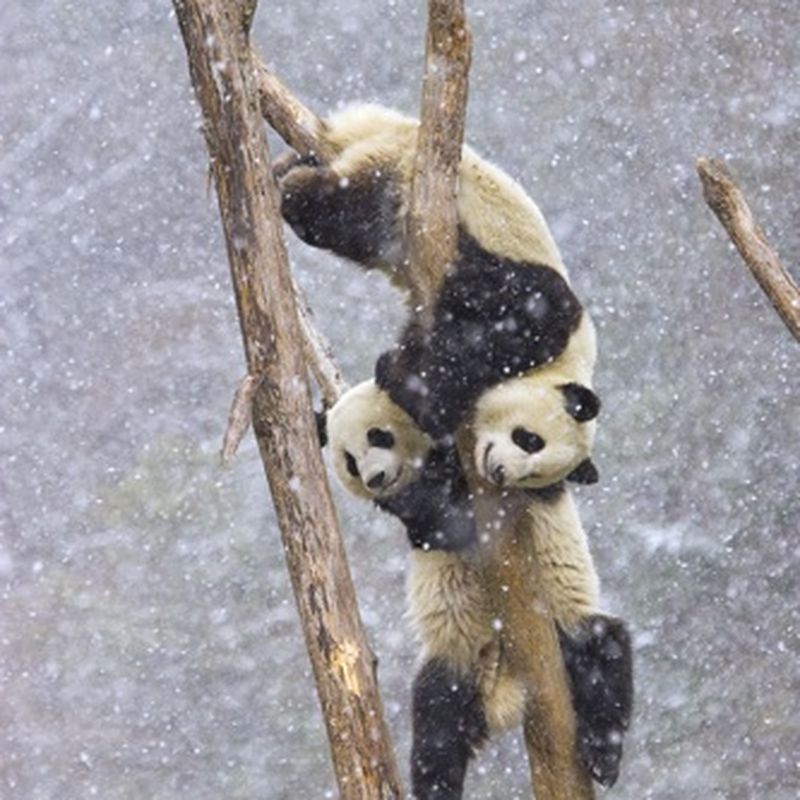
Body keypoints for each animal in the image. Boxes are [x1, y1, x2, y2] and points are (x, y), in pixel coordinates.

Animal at [278, 103, 596, 440]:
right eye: (529, 440)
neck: (564, 361)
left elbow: (423, 342)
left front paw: (394, 374)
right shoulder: (531, 307)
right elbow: (471, 344)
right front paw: (426, 402)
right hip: (396, 179)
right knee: (343, 207)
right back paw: (292, 185)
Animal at [324, 380, 632, 792]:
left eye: (379, 435)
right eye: (350, 463)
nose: (376, 479)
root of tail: (503, 694)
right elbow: (434, 521)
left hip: (568, 625)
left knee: (605, 651)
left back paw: (603, 755)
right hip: (459, 660)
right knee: (437, 727)